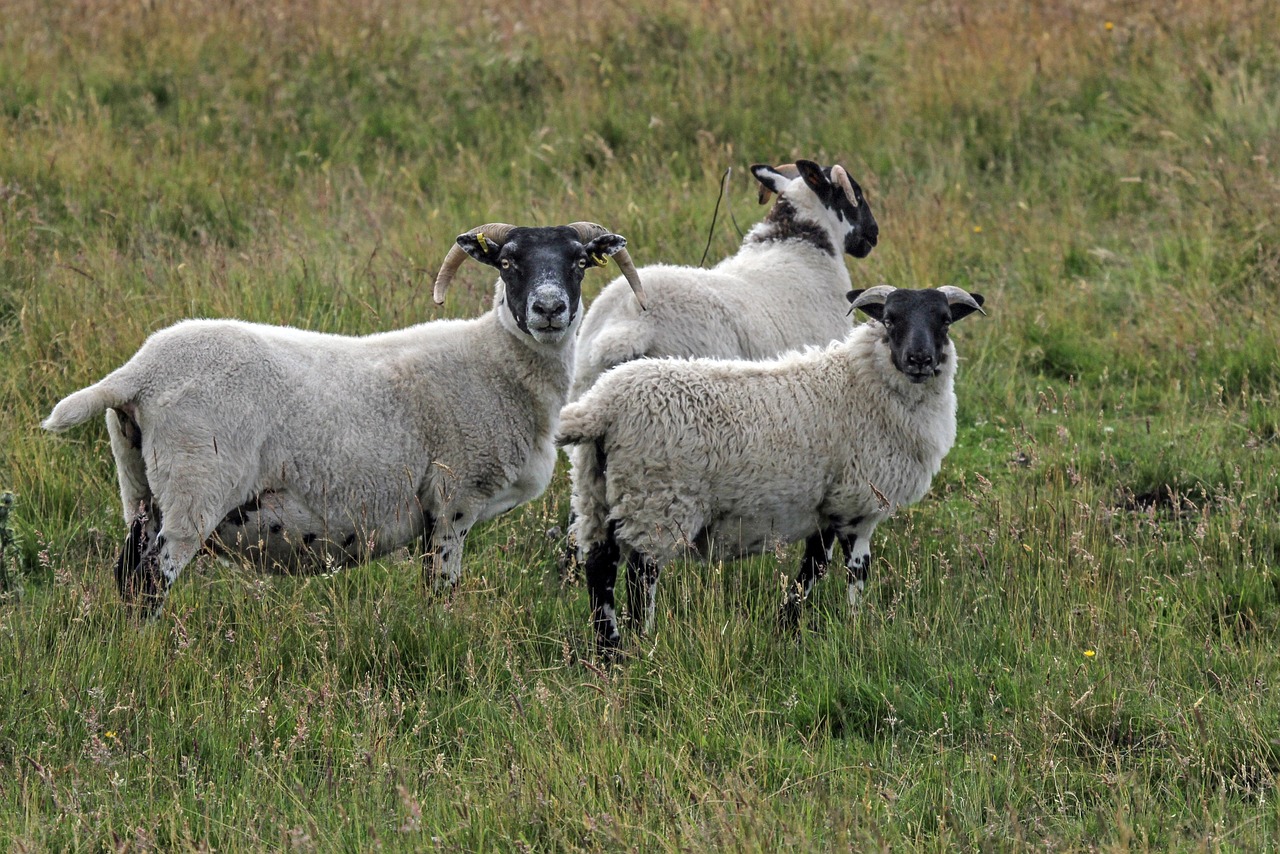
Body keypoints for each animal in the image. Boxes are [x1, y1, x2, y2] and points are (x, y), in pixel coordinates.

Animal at [41, 221, 645, 618]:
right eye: (508, 262)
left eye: (578, 261)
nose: (549, 309)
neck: (494, 363)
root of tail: (138, 373)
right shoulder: (453, 503)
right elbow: (443, 594)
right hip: (194, 485)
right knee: (151, 579)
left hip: (140, 486)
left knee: (127, 575)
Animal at [555, 285, 986, 653]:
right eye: (891, 319)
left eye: (944, 320)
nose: (920, 359)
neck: (863, 382)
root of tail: (601, 406)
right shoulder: (856, 504)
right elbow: (855, 572)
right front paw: (856, 628)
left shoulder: (826, 506)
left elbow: (812, 569)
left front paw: (786, 625)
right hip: (658, 500)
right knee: (640, 577)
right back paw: (643, 644)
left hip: (596, 492)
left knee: (599, 568)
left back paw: (609, 651)